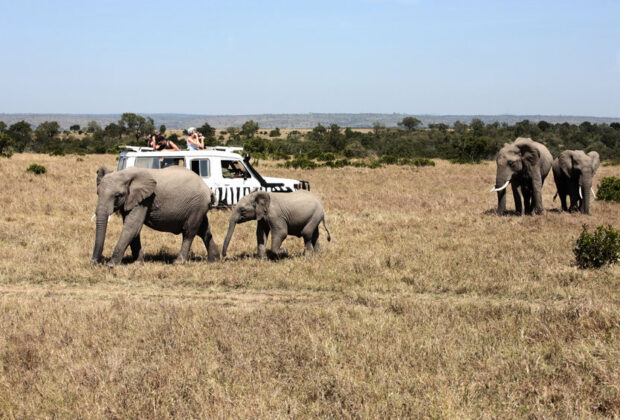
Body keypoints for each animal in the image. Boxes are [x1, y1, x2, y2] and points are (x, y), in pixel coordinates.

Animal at [91, 166, 219, 264]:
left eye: (117, 196)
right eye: (97, 193)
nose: (95, 263)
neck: (126, 174)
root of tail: (208, 189)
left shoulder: (145, 199)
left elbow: (132, 226)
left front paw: (112, 265)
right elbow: (133, 228)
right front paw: (137, 263)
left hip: (197, 205)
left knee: (189, 232)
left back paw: (178, 262)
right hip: (199, 207)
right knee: (204, 231)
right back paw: (213, 261)